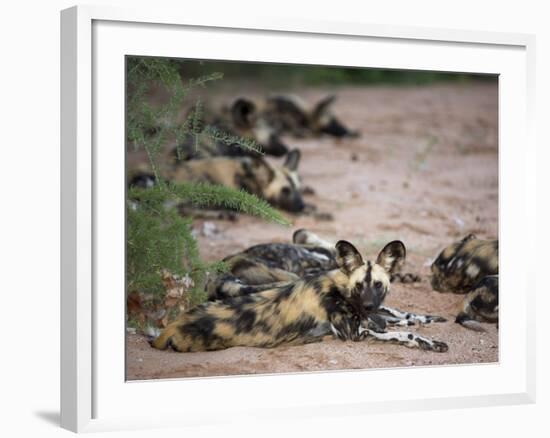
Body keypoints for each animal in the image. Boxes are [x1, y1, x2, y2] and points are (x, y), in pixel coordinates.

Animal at [151, 240, 448, 352]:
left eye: (378, 284)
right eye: (358, 286)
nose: (368, 304)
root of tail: (170, 328)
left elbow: (397, 315)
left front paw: (426, 320)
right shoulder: (353, 332)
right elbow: (402, 332)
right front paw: (426, 341)